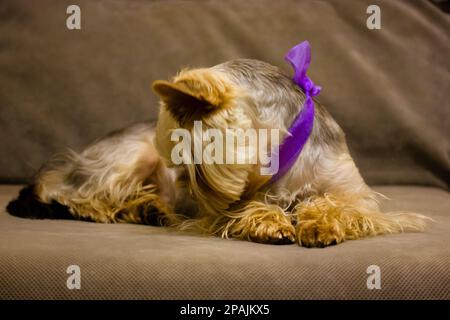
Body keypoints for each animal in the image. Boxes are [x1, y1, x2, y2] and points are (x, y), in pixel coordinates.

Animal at [7, 42, 428, 248]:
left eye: (190, 158)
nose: (179, 184)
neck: (286, 156)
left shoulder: (357, 195)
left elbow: (344, 205)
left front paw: (320, 222)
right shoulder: (224, 207)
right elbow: (244, 210)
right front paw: (269, 221)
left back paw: (149, 208)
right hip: (127, 156)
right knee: (78, 194)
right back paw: (131, 206)